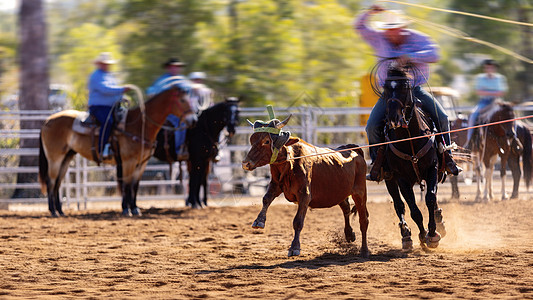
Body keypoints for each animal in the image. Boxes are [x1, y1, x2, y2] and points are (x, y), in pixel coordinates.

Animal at [39, 83, 197, 217]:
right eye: (183, 100)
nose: (194, 120)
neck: (139, 126)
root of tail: (47, 121)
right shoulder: (128, 161)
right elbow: (126, 184)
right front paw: (126, 209)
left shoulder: (141, 163)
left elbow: (135, 185)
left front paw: (135, 209)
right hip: (54, 158)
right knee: (51, 181)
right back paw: (53, 211)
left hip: (67, 157)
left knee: (58, 182)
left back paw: (60, 211)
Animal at [242, 116, 370, 256]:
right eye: (251, 140)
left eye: (266, 141)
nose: (245, 163)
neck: (291, 162)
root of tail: (354, 150)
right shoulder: (276, 184)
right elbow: (266, 199)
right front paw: (259, 220)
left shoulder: (304, 195)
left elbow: (298, 221)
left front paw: (294, 247)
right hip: (339, 192)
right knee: (346, 208)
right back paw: (349, 234)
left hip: (360, 193)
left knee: (363, 220)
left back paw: (364, 250)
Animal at [380, 66, 446, 251]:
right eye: (385, 89)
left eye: (405, 87)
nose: (393, 118)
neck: (409, 138)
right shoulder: (401, 178)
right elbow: (414, 209)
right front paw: (423, 236)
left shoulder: (433, 168)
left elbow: (430, 198)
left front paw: (433, 234)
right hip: (389, 179)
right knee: (399, 205)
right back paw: (406, 235)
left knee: (433, 199)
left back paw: (439, 222)